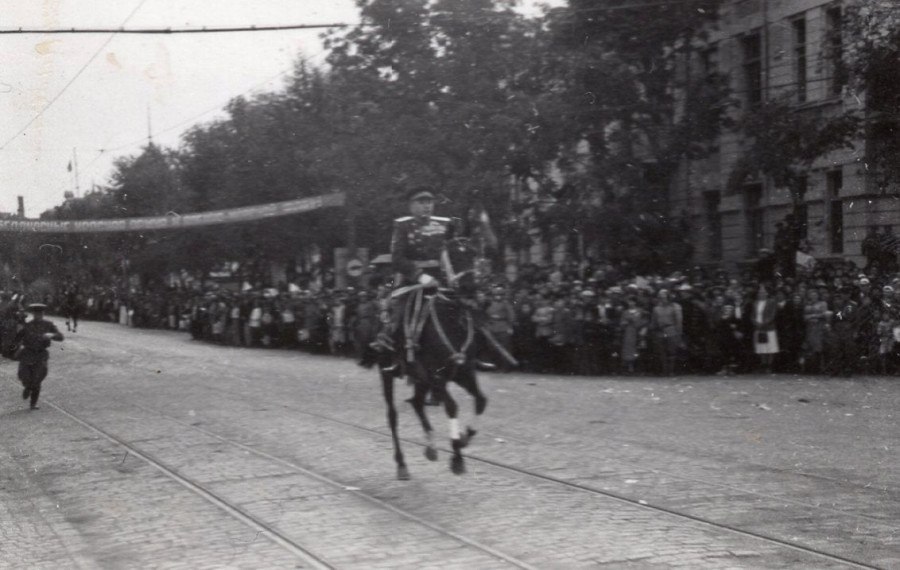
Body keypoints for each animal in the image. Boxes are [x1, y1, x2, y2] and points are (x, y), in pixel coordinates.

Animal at [378, 234, 486, 474]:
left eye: (473, 254)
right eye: (453, 255)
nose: (470, 288)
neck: (452, 321)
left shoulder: (464, 372)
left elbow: (481, 400)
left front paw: (465, 437)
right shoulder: (437, 376)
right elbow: (452, 406)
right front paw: (457, 457)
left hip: (420, 378)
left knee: (417, 403)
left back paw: (431, 446)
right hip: (388, 373)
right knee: (392, 415)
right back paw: (401, 464)